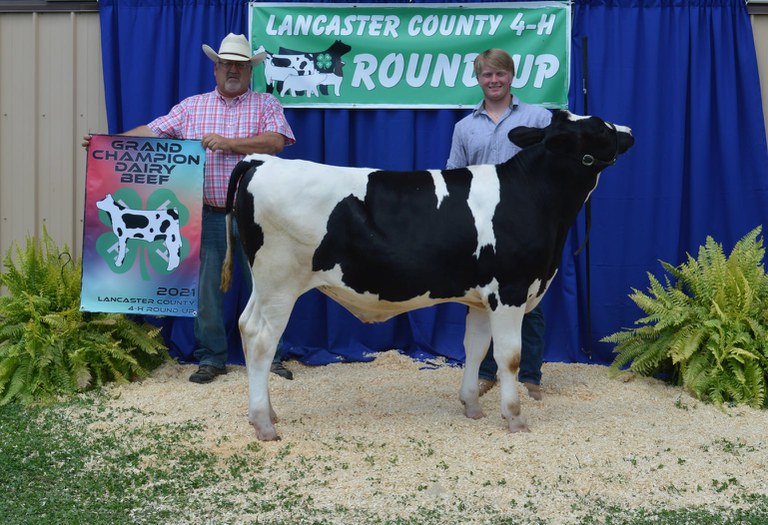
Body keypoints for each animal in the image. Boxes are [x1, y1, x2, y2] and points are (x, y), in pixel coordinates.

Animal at [219, 111, 632, 442]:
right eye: (598, 126)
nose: (629, 130)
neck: (531, 197)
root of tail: (261, 161)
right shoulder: (510, 291)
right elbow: (509, 356)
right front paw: (514, 418)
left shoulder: (481, 297)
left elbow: (475, 348)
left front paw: (471, 406)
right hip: (280, 282)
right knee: (262, 340)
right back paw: (264, 424)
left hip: (262, 285)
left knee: (244, 325)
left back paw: (266, 413)